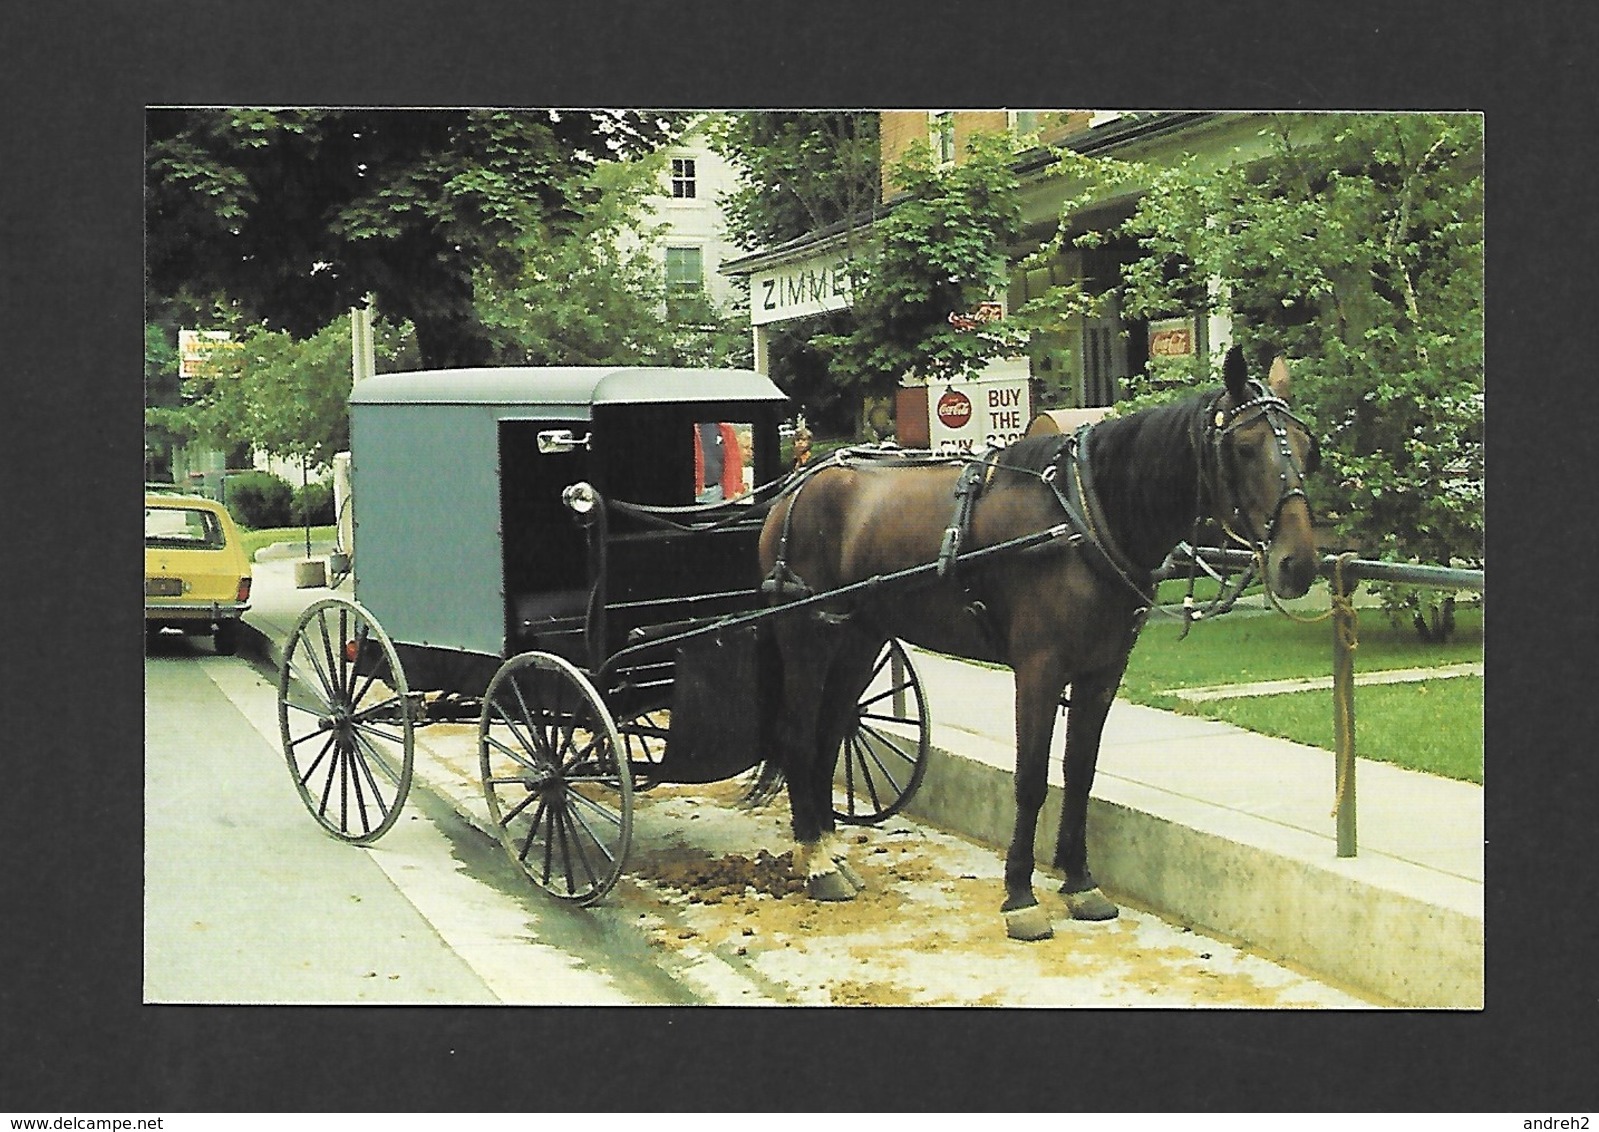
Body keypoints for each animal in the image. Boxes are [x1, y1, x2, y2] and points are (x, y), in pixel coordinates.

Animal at [754, 345, 1317, 940]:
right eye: (1245, 447)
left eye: (1308, 447)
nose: (1297, 563)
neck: (1085, 515)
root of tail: (795, 489)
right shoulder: (1039, 669)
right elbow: (1031, 778)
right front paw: (1020, 894)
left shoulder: (1101, 673)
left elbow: (1079, 772)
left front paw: (1079, 880)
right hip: (807, 635)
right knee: (798, 733)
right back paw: (815, 860)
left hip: (859, 637)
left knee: (830, 729)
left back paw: (827, 848)